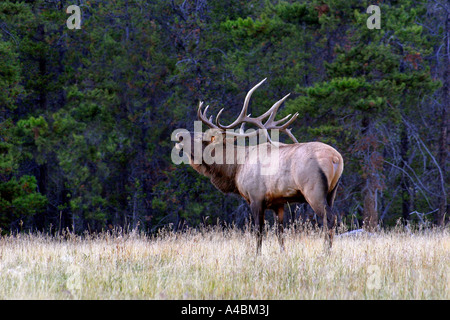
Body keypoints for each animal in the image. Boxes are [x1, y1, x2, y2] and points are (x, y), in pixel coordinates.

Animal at [174, 79, 342, 254]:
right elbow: (280, 233)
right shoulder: (278, 202)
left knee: (329, 218)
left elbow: (258, 231)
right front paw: (283, 253)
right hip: (332, 191)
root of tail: (336, 158)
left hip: (313, 190)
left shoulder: (255, 197)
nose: (179, 135)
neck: (235, 169)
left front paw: (256, 255)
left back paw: (325, 252)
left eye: (201, 138)